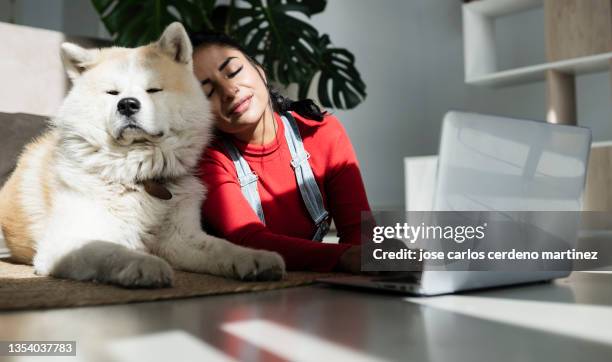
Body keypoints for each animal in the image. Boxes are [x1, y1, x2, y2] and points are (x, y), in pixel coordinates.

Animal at [0, 22, 286, 288]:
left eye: (153, 90)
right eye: (112, 93)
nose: (127, 104)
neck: (140, 174)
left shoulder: (180, 237)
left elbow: (222, 248)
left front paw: (255, 257)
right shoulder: (68, 242)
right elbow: (110, 251)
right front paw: (145, 265)